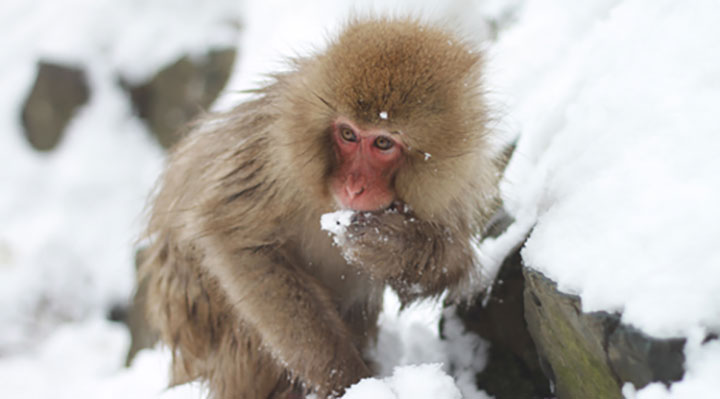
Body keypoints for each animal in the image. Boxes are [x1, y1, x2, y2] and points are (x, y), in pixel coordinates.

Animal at [141, 17, 500, 398]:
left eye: (383, 142)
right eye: (347, 134)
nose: (353, 186)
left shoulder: (455, 190)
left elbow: (446, 269)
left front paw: (389, 244)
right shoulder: (273, 156)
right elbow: (235, 238)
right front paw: (345, 379)